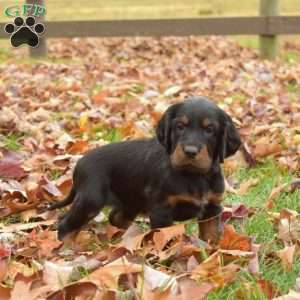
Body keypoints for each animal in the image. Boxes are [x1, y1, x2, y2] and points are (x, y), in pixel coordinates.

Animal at [49, 96, 241, 241]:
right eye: (179, 127)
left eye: (210, 130)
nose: (190, 151)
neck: (193, 175)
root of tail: (79, 164)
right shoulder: (161, 210)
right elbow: (166, 239)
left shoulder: (212, 208)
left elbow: (211, 236)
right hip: (91, 200)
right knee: (65, 225)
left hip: (130, 202)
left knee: (115, 217)